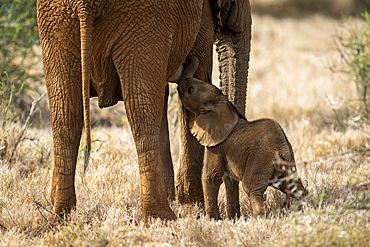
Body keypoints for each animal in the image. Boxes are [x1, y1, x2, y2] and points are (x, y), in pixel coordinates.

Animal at [37, 0, 251, 220]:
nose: (234, 216)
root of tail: (84, 4)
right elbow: (197, 79)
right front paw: (195, 208)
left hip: (56, 21)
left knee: (65, 111)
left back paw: (59, 215)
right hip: (144, 17)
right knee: (140, 111)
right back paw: (162, 217)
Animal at [176, 55, 306, 218]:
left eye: (190, 90)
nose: (189, 58)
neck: (222, 104)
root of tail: (283, 151)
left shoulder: (217, 145)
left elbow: (212, 177)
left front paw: (214, 220)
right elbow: (225, 178)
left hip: (260, 159)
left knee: (251, 188)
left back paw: (258, 219)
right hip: (289, 164)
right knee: (296, 187)